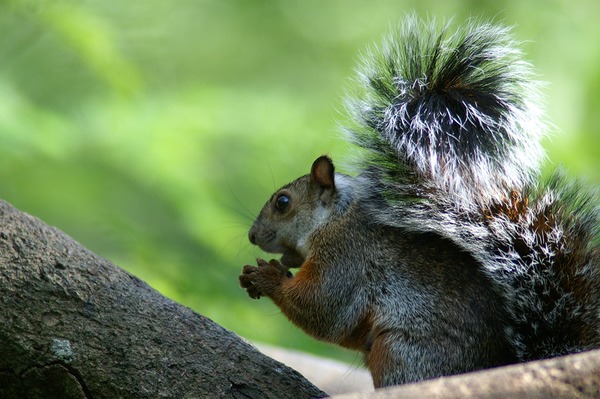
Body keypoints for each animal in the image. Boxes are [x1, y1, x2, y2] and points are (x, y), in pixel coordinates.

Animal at [239, 17, 600, 390]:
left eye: (283, 202)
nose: (251, 236)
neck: (334, 218)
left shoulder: (347, 256)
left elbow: (324, 310)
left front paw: (267, 276)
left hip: (401, 353)